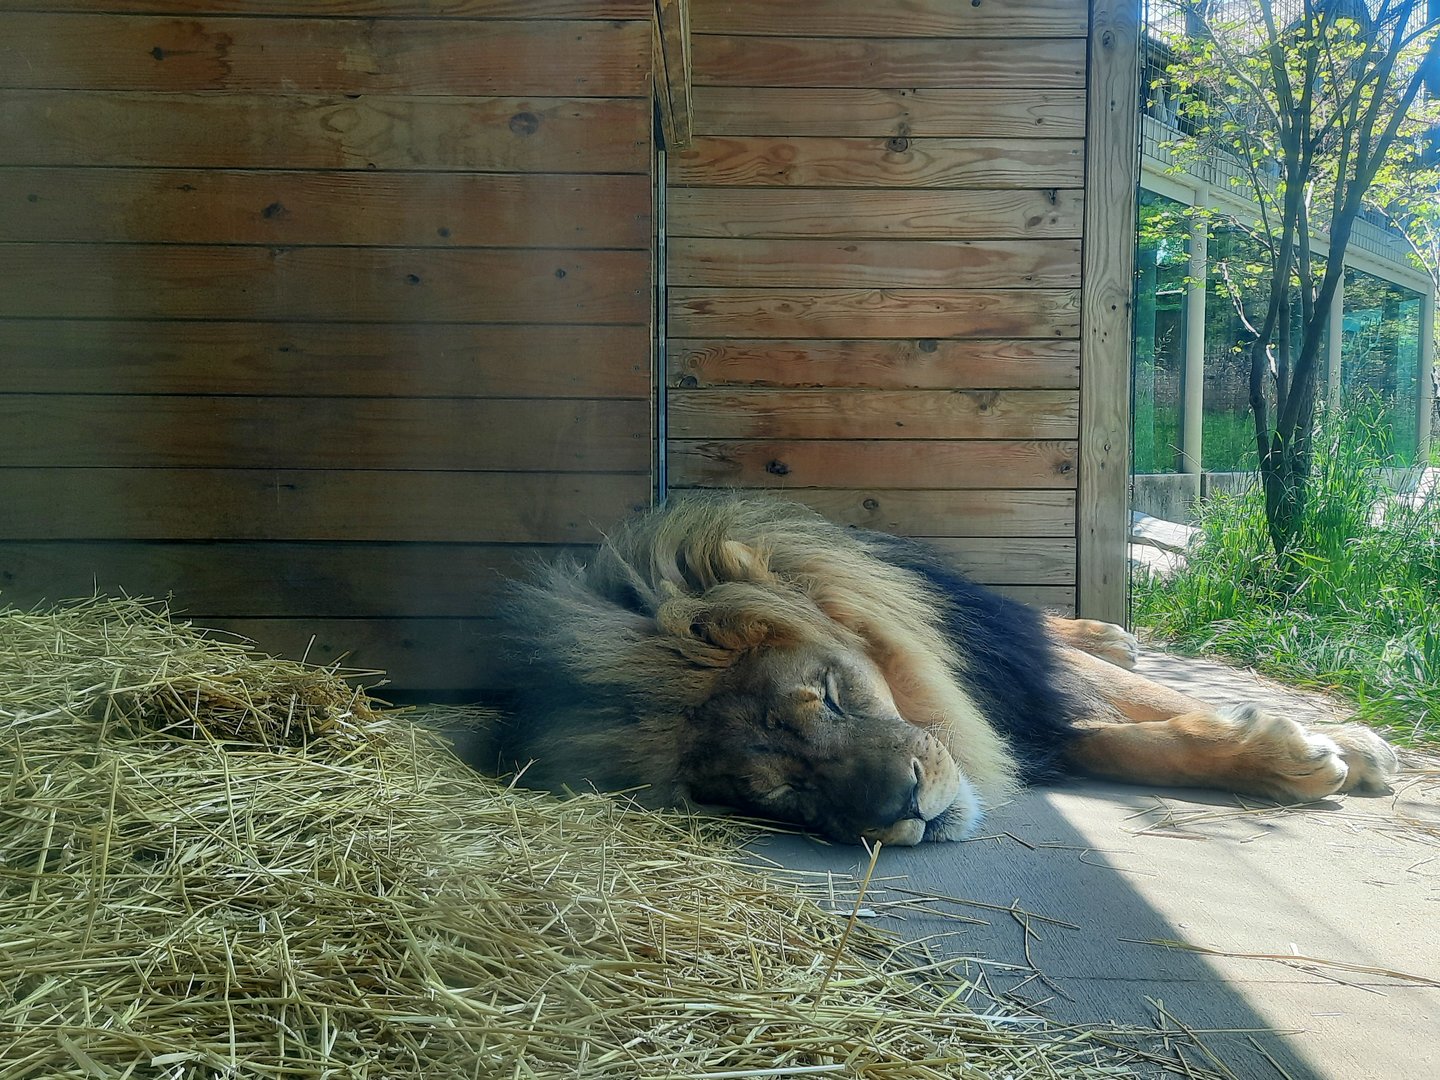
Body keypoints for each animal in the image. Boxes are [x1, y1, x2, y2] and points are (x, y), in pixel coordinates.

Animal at [480, 493, 1400, 845]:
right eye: (771, 795)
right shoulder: (1025, 724)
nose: (903, 811)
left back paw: (1107, 631)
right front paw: (1291, 758)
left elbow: (1151, 699)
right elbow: (1133, 742)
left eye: (828, 697)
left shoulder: (1011, 669)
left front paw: (1344, 745)